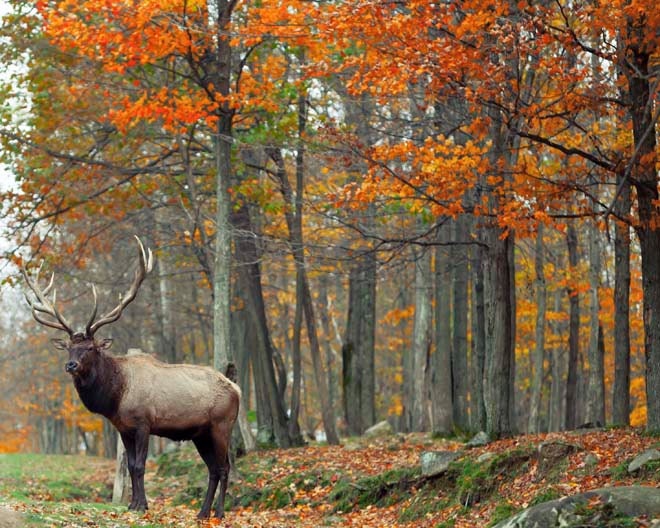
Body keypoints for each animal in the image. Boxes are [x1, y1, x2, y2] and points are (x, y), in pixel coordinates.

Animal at [21, 236, 240, 520]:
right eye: (69, 347)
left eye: (90, 348)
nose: (70, 365)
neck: (116, 396)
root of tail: (237, 389)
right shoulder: (123, 427)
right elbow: (132, 464)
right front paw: (133, 504)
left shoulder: (144, 422)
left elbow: (139, 466)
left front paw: (141, 506)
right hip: (200, 434)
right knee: (213, 468)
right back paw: (202, 512)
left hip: (222, 424)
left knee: (224, 467)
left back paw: (219, 513)